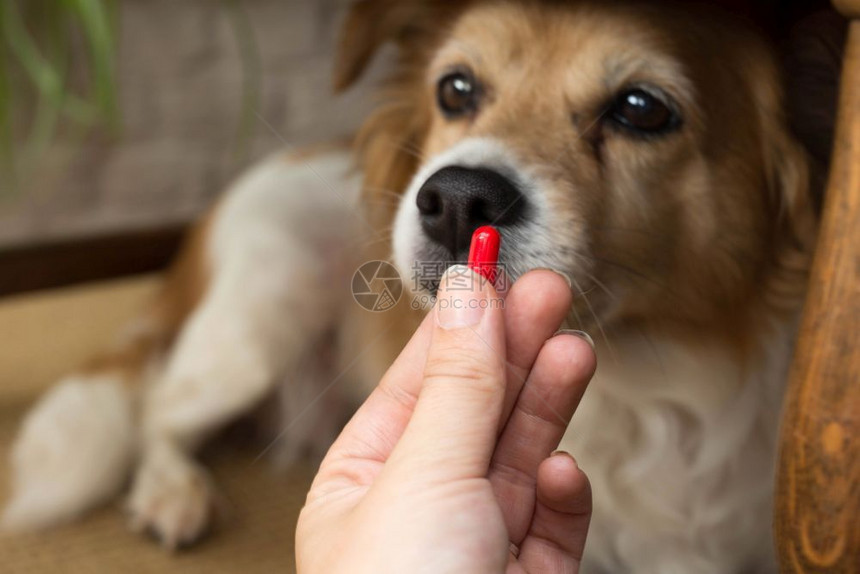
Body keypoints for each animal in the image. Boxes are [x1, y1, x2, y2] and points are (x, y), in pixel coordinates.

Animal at [3, 2, 816, 572]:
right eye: (455, 89)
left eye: (642, 109)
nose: (457, 198)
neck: (645, 375)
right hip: (259, 321)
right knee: (158, 409)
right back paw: (172, 492)